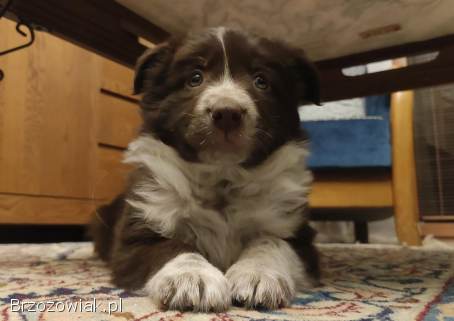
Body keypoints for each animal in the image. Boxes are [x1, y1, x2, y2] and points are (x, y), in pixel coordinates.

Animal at [90, 26, 320, 312]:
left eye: (261, 81)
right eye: (195, 78)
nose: (227, 113)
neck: (222, 176)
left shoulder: (299, 234)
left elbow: (271, 241)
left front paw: (257, 275)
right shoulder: (136, 233)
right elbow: (172, 246)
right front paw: (190, 279)